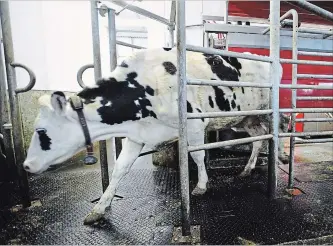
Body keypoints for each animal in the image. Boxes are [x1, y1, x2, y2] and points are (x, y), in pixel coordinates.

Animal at [22, 47, 288, 225]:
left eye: (41, 131)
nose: (26, 165)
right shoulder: (137, 135)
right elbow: (119, 170)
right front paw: (100, 208)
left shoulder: (195, 125)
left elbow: (198, 157)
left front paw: (201, 186)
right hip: (247, 117)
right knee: (258, 136)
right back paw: (247, 168)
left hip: (268, 110)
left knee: (280, 128)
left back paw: (281, 158)